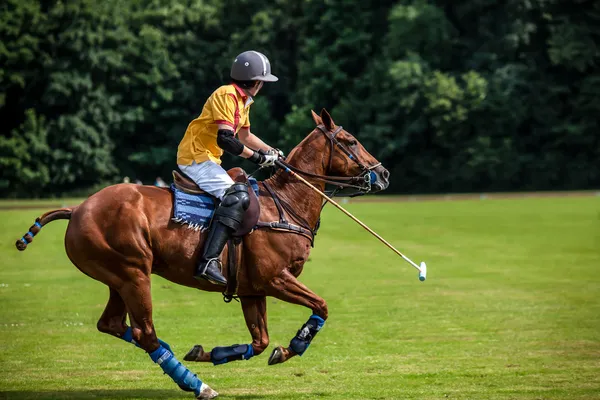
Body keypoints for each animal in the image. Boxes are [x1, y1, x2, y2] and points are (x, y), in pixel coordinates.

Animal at [16, 109, 392, 400]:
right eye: (351, 141)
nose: (384, 173)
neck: (287, 205)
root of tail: (77, 209)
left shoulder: (252, 289)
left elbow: (259, 342)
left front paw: (213, 353)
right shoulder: (274, 278)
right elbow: (321, 306)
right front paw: (295, 344)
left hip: (117, 277)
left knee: (114, 324)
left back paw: (176, 356)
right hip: (133, 273)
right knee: (144, 332)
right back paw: (197, 384)